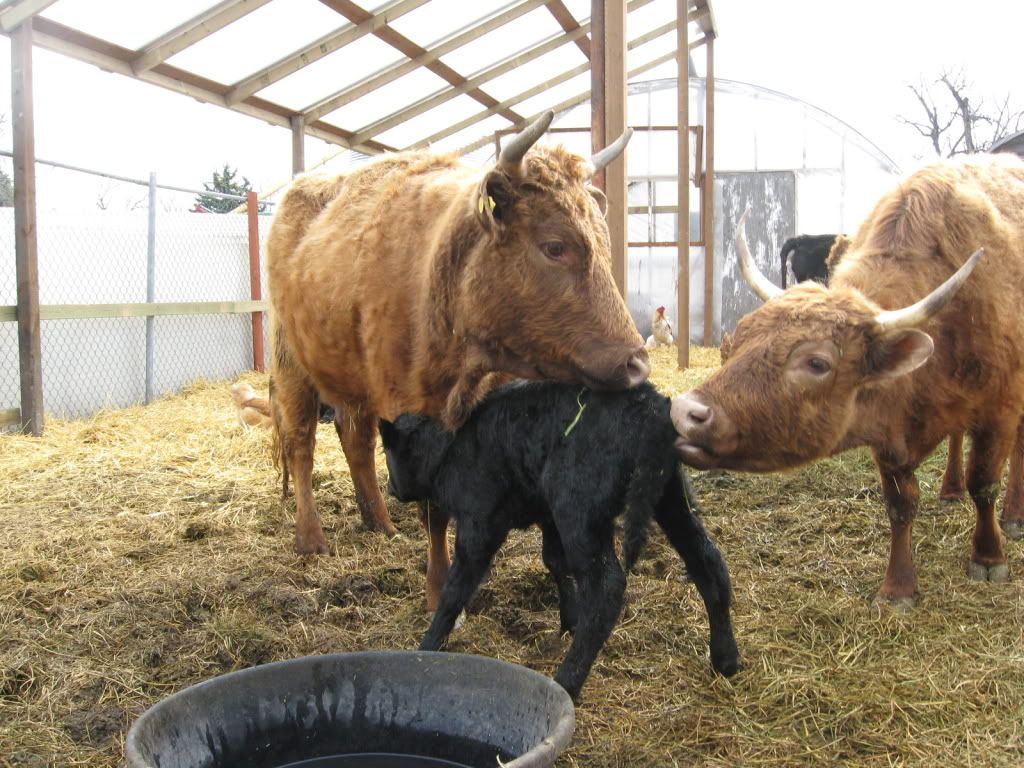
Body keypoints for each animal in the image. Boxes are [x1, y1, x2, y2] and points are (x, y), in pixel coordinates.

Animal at [266, 111, 649, 610]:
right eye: (555, 245)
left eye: (605, 243)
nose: (636, 363)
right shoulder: (409, 408)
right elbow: (434, 508)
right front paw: (438, 589)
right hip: (292, 364)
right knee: (302, 444)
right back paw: (310, 537)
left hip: (353, 381)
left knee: (355, 442)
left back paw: (380, 522)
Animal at [378, 380, 739, 701]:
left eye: (389, 450)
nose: (392, 489)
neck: (448, 448)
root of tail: (650, 405)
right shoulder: (547, 515)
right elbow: (553, 561)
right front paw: (569, 620)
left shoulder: (480, 524)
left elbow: (457, 588)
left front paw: (428, 645)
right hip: (670, 499)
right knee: (708, 561)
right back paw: (726, 659)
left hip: (579, 510)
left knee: (606, 588)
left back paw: (567, 681)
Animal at [672, 154, 1024, 607]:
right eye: (742, 335)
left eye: (817, 363)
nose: (685, 412)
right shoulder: (886, 432)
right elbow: (900, 504)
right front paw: (898, 587)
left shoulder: (1000, 409)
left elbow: (984, 483)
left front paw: (988, 556)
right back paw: (950, 489)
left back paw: (1013, 516)